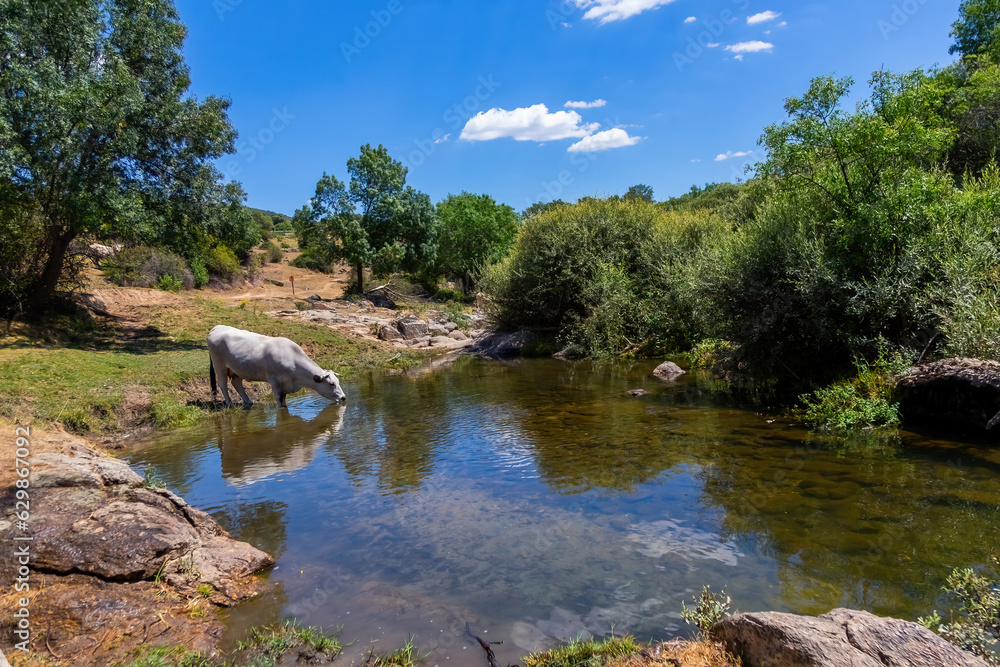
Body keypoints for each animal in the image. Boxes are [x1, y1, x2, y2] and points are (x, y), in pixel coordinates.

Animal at [207, 326, 348, 410]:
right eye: (331, 384)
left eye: (337, 382)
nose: (343, 397)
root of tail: (217, 327)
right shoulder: (275, 382)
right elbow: (280, 401)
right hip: (219, 365)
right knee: (223, 384)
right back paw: (229, 403)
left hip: (238, 369)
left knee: (236, 384)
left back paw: (249, 402)